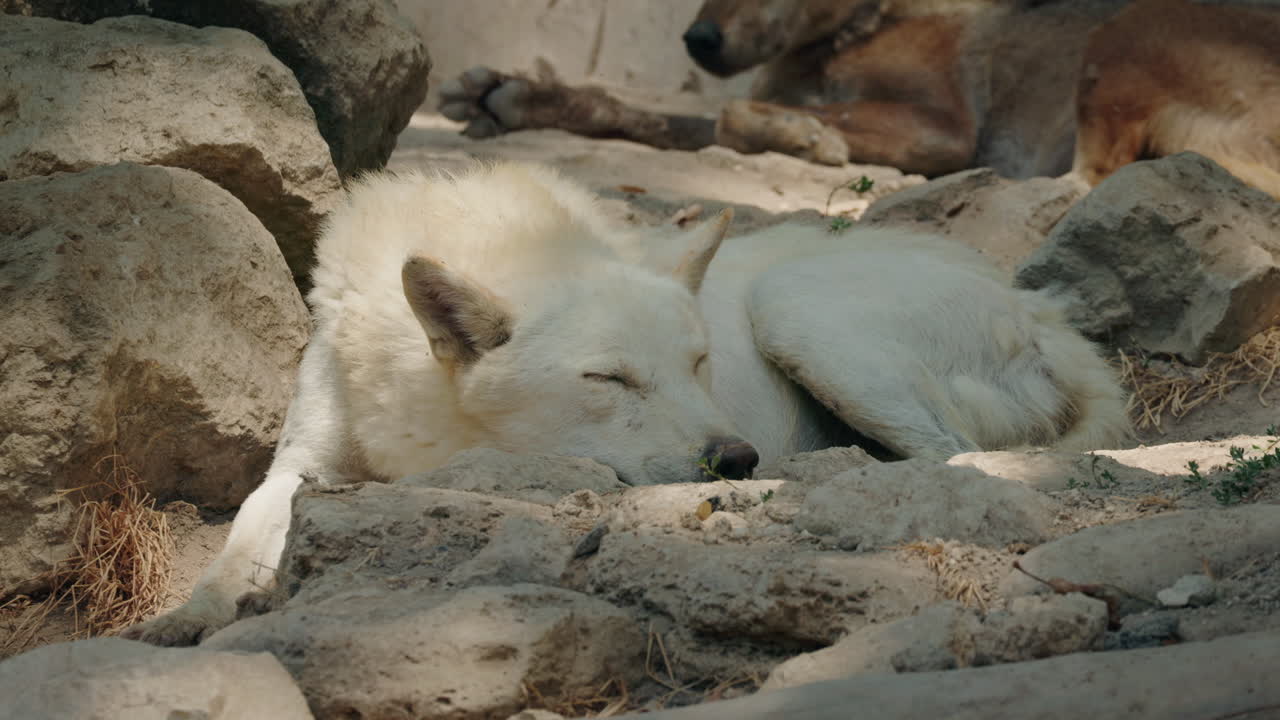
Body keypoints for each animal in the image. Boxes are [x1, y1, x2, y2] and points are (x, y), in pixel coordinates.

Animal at [123, 162, 1129, 645]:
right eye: (610, 381)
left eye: (699, 363)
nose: (737, 460)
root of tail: (1036, 307)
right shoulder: (300, 466)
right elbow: (247, 531)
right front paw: (191, 614)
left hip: (797, 312)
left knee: (943, 453)